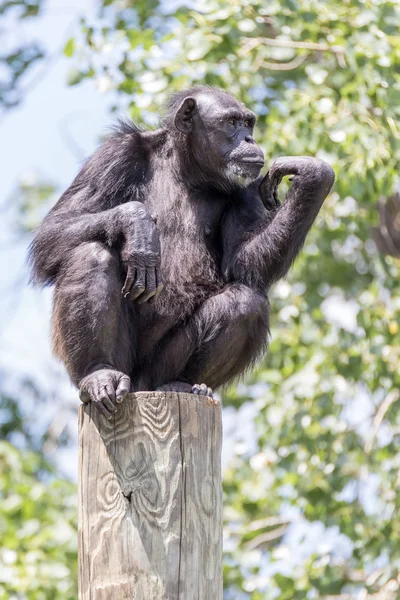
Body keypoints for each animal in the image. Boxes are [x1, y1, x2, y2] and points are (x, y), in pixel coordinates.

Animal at [28, 86, 334, 420]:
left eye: (248, 123)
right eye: (231, 122)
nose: (249, 140)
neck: (186, 169)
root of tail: (139, 386)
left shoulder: (248, 186)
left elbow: (243, 262)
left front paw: (313, 175)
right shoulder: (113, 155)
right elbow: (54, 231)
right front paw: (137, 224)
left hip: (157, 369)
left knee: (245, 303)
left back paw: (183, 384)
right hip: (126, 366)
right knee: (90, 253)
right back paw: (99, 373)